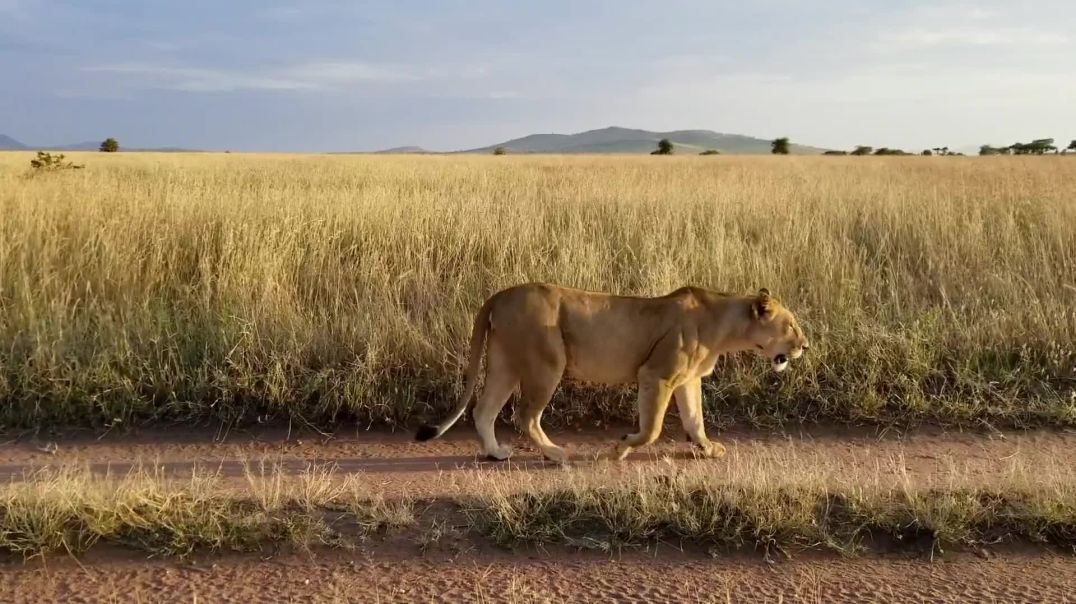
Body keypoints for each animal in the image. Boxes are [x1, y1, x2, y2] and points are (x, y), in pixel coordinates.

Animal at [415, 283, 808, 463]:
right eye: (791, 325)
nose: (805, 346)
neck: (723, 325)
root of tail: (500, 294)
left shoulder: (688, 380)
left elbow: (695, 419)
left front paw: (709, 448)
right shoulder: (657, 375)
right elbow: (651, 429)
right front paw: (620, 448)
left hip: (505, 363)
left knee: (484, 410)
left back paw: (496, 452)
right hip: (545, 364)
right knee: (525, 416)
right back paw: (556, 454)